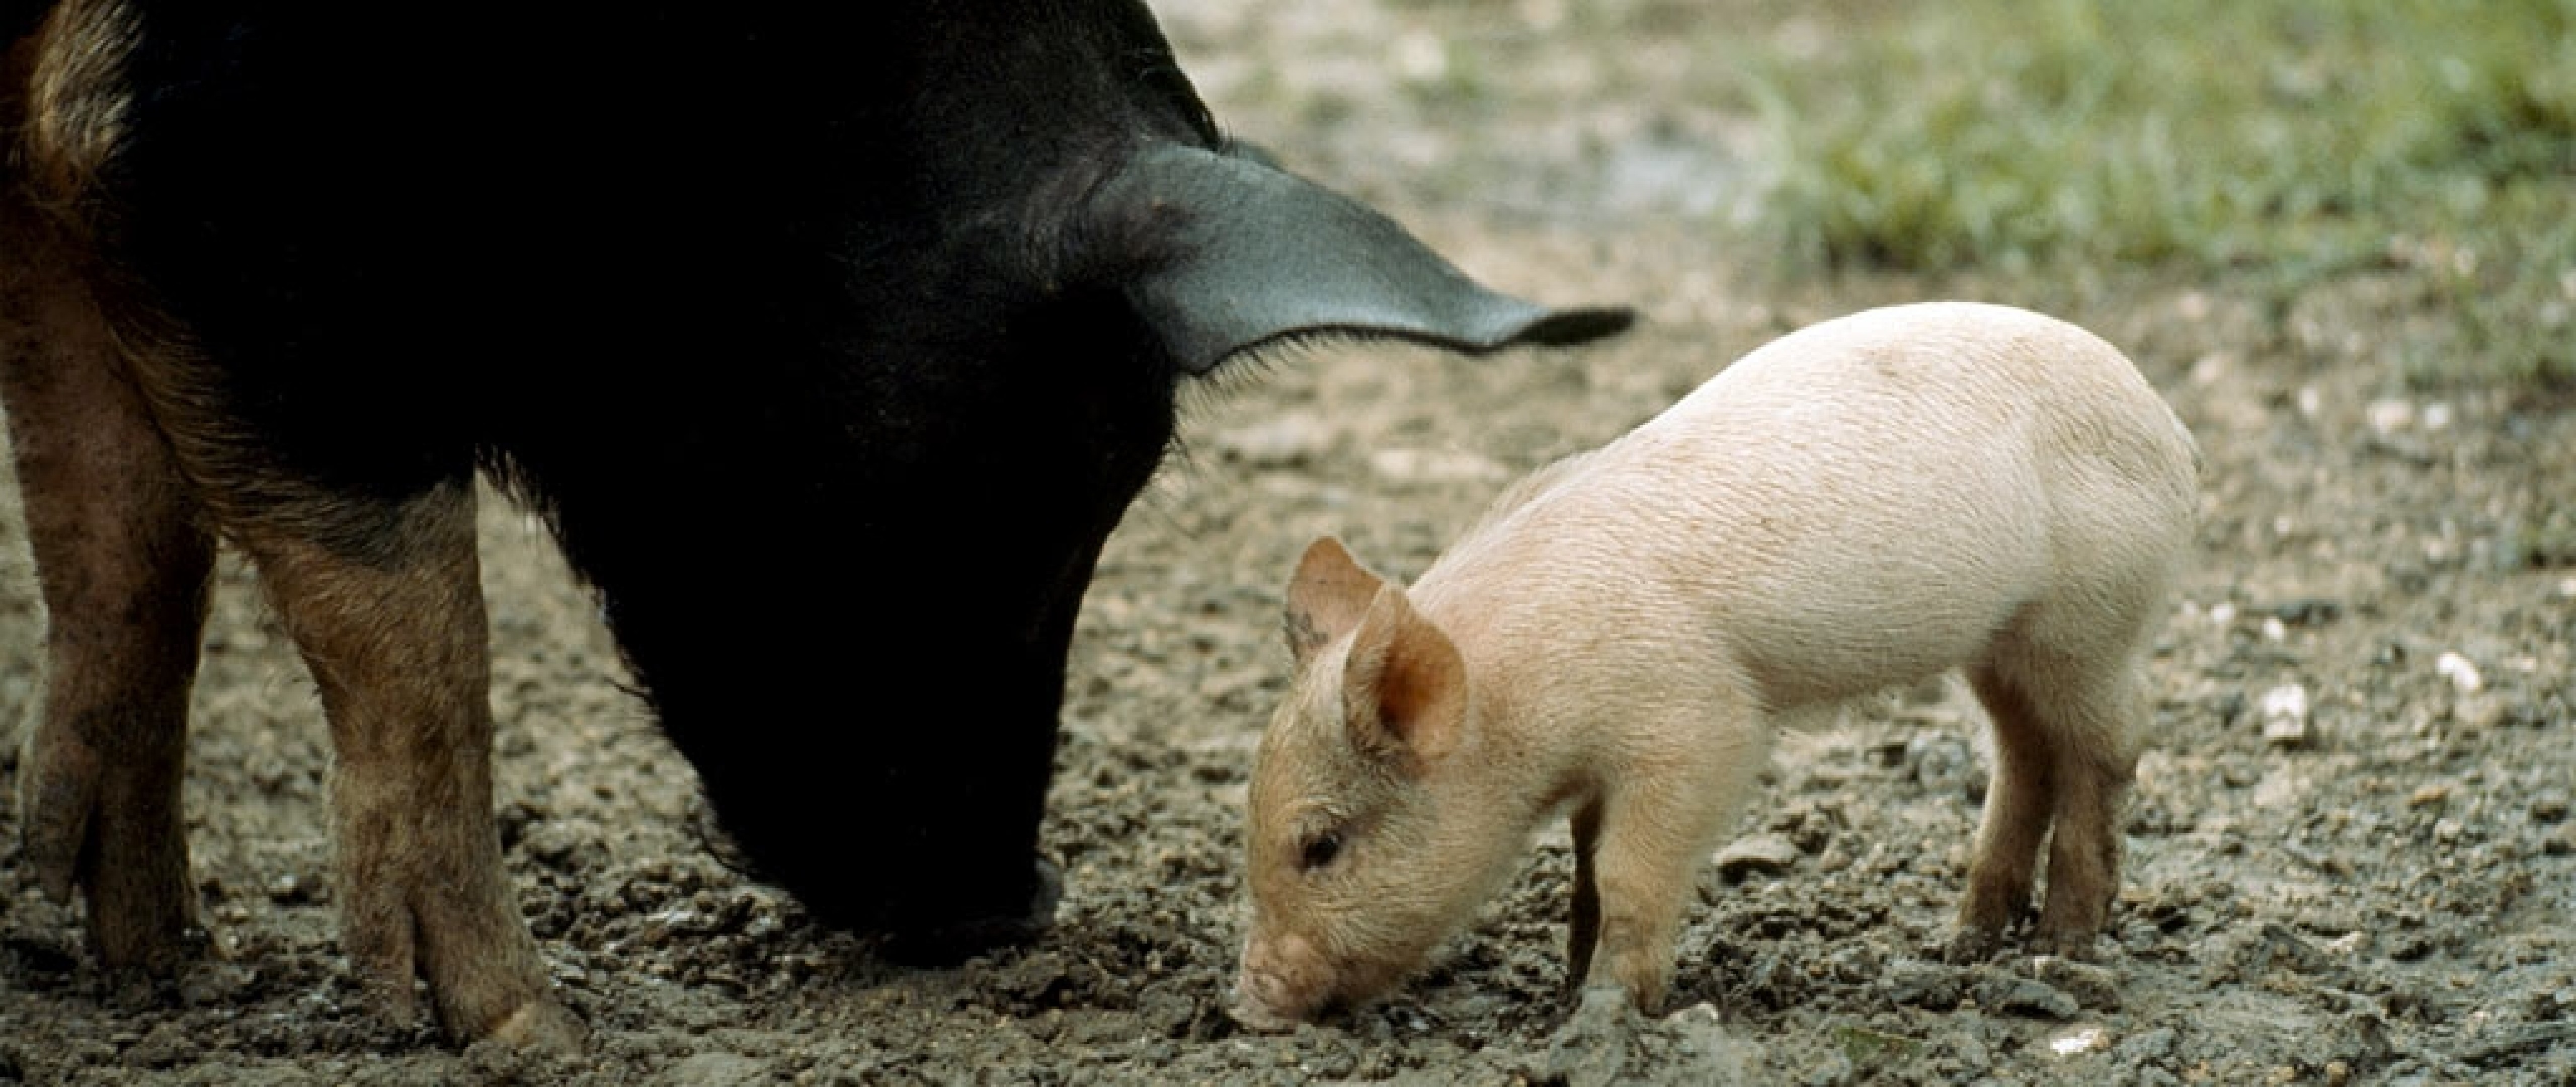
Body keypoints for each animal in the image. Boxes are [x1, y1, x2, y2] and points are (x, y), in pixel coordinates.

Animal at [0, 1, 1629, 1047]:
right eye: (1056, 465)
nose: (1011, 902)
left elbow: (125, 520)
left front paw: (149, 959)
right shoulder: (213, 169)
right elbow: (416, 617)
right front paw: (526, 1032)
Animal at [1235, 302, 2197, 1029]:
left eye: (1320, 846)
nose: (1247, 1006)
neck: (1519, 703)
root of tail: (2172, 428)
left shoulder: (1696, 724)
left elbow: (1627, 871)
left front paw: (1606, 1012)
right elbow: (1582, 871)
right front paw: (1566, 993)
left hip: (2090, 621)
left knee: (2111, 747)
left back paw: (2062, 948)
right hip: (2000, 643)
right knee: (2024, 754)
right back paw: (1965, 944)